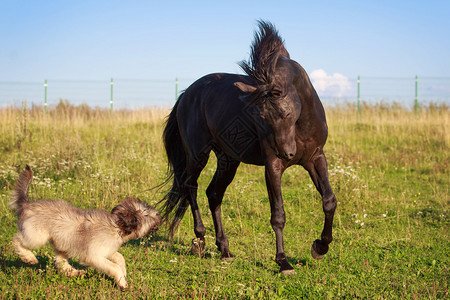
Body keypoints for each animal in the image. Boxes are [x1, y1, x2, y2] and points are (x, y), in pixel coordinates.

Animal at [9, 165, 162, 290]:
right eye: (146, 213)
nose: (159, 215)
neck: (116, 227)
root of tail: (27, 205)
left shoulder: (107, 250)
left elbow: (120, 258)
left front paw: (123, 275)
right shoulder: (93, 256)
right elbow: (114, 266)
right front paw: (122, 282)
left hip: (61, 243)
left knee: (61, 263)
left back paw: (76, 272)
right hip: (36, 236)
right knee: (16, 240)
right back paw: (29, 257)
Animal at [160, 21, 336, 274]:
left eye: (285, 113)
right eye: (261, 116)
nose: (286, 153)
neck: (300, 125)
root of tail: (186, 95)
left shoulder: (315, 158)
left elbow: (329, 201)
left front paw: (320, 247)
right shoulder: (272, 167)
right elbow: (278, 214)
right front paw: (283, 262)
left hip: (228, 160)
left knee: (213, 194)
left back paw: (224, 249)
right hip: (197, 155)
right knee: (190, 187)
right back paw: (200, 240)